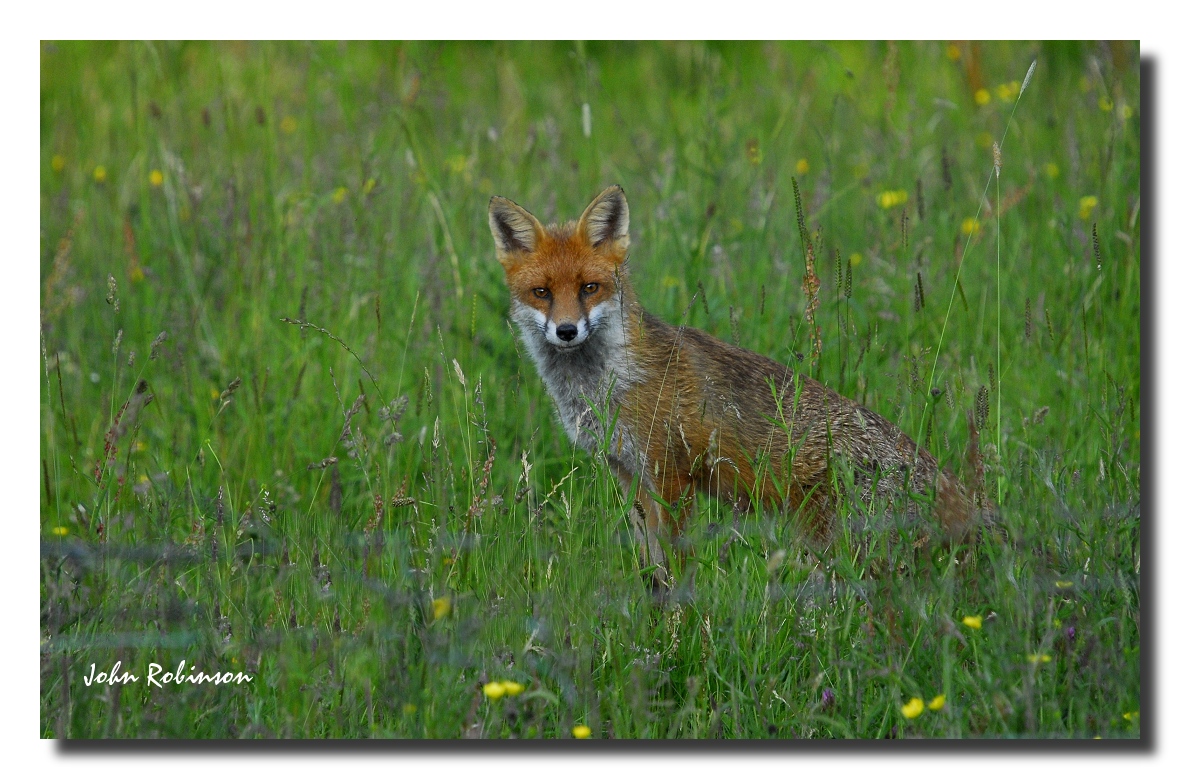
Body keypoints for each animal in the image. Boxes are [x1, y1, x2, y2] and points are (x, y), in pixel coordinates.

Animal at [489, 185, 991, 583]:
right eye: (542, 293)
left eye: (589, 288)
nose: (566, 331)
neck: (607, 386)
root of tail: (962, 500)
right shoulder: (627, 473)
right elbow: (651, 564)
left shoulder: (671, 474)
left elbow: (676, 562)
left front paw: (680, 622)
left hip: (834, 542)